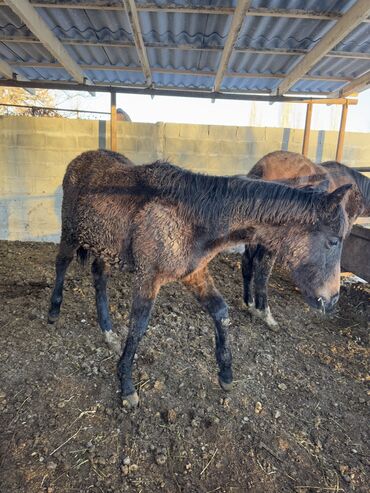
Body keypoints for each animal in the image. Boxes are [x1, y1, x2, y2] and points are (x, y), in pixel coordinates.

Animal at [49, 151, 352, 408]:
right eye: (333, 241)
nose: (332, 299)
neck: (193, 216)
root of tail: (79, 160)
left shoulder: (195, 273)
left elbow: (220, 311)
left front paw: (226, 375)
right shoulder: (148, 277)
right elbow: (138, 328)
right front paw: (126, 387)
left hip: (105, 246)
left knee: (99, 278)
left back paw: (108, 331)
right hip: (71, 233)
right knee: (61, 264)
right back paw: (53, 312)